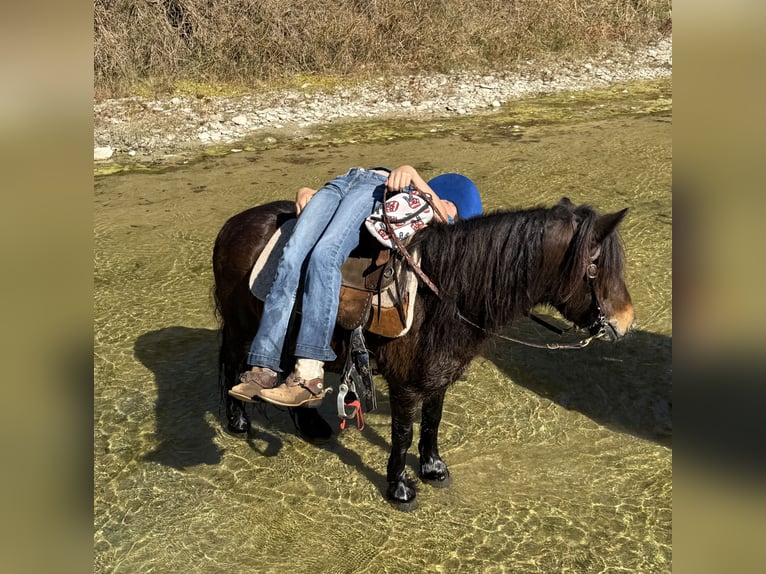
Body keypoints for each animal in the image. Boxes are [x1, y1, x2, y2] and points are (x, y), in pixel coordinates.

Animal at [212, 197, 634, 507]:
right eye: (594, 266)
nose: (626, 322)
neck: (441, 292)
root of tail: (233, 225)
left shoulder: (437, 373)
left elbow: (432, 422)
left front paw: (432, 468)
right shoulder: (405, 383)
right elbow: (403, 432)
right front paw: (399, 487)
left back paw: (310, 423)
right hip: (242, 327)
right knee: (233, 365)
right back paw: (238, 421)